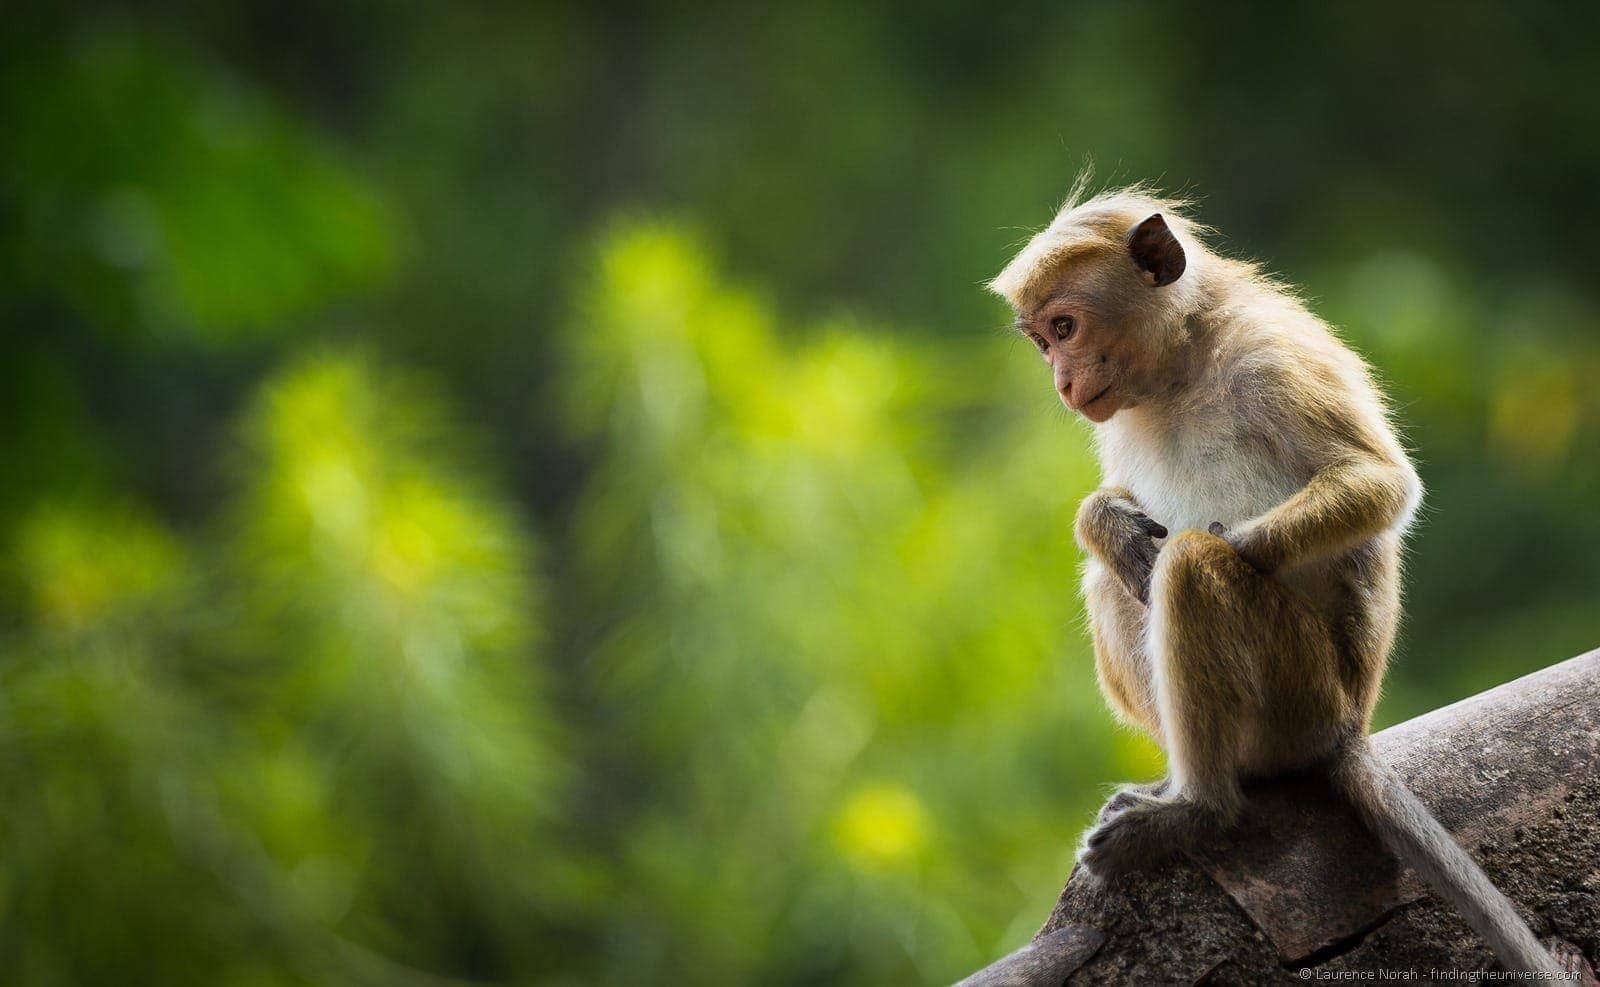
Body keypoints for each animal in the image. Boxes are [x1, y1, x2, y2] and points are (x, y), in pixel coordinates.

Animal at [985, 180, 1561, 972]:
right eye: (1043, 341)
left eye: (1065, 326)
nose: (1064, 381)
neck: (1184, 364)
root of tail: (1348, 728)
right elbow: (1119, 521)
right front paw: (1104, 520)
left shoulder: (1273, 361)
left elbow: (1381, 485)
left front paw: (1204, 540)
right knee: (1114, 579)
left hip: (1302, 694)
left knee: (1191, 570)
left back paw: (1200, 807)